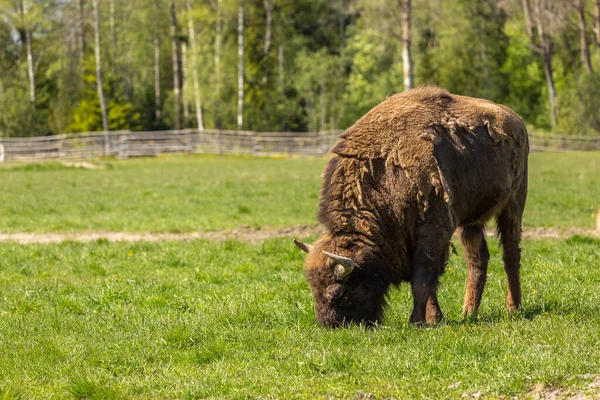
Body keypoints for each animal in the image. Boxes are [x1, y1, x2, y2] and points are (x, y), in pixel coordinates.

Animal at [292, 86, 528, 326]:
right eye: (313, 288)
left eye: (339, 293)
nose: (330, 325)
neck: (384, 179)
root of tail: (516, 120)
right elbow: (428, 283)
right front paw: (434, 319)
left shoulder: (433, 231)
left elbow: (421, 280)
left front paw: (417, 321)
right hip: (471, 220)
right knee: (478, 259)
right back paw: (468, 312)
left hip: (513, 204)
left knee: (510, 254)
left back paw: (514, 308)